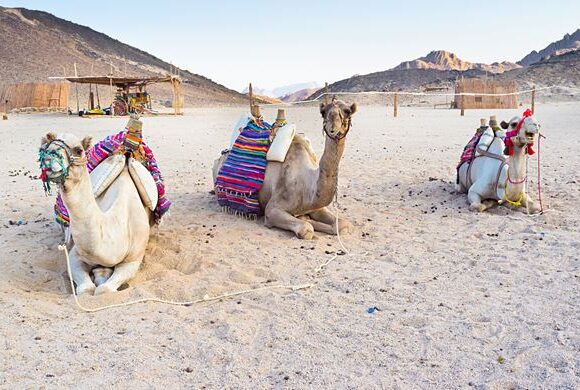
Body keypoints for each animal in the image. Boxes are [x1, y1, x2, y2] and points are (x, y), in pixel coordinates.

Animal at [213, 99, 358, 239]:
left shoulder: (315, 206)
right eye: (323, 112)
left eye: (347, 111)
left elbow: (344, 225)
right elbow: (307, 229)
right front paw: (306, 221)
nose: (333, 128)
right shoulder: (272, 208)